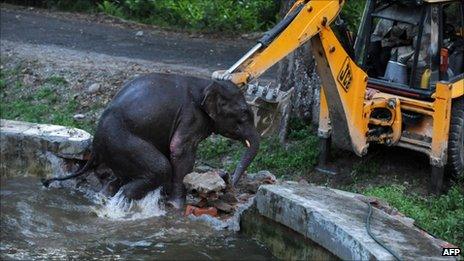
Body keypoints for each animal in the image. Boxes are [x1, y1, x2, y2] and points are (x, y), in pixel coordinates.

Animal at [42, 72, 260, 206]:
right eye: (243, 114)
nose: (231, 181)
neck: (207, 83)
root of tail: (95, 146)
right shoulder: (191, 117)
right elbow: (179, 149)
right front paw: (176, 205)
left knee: (120, 177)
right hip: (121, 140)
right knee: (159, 168)